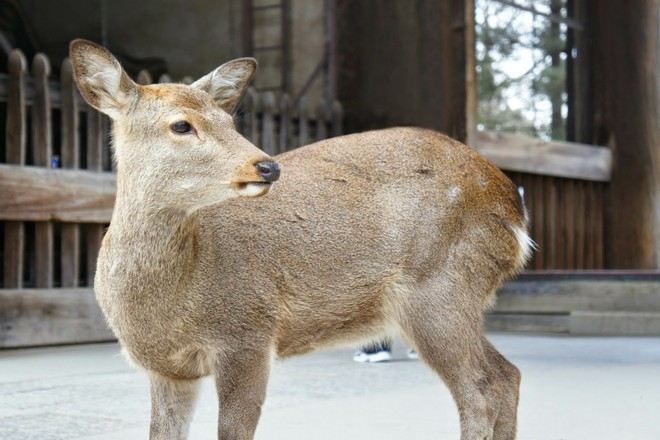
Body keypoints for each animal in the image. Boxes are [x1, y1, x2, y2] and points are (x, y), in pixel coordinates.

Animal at [70, 39, 532, 440]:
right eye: (181, 125)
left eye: (229, 121)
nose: (267, 166)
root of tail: (513, 207)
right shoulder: (169, 370)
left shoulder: (248, 333)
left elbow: (233, 429)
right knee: (506, 374)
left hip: (440, 287)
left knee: (480, 389)